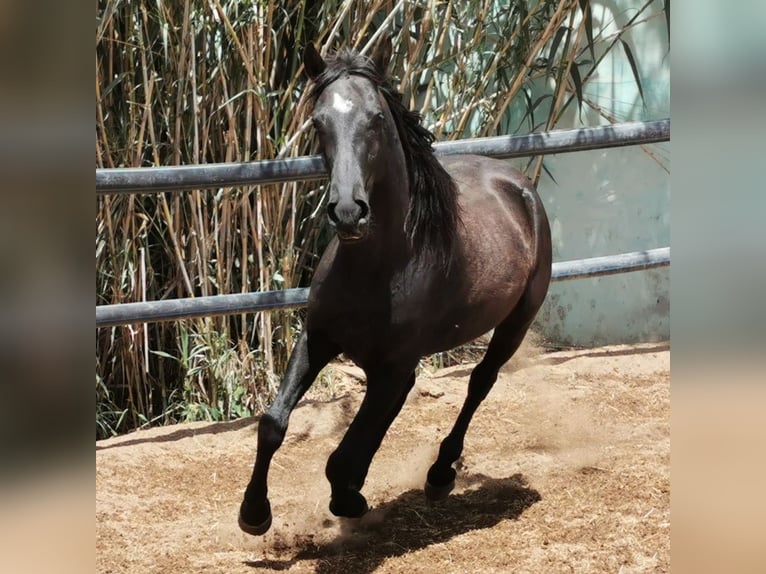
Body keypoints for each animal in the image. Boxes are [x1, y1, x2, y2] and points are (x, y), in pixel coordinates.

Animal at [240, 42, 552, 536]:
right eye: (318, 122)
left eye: (376, 118)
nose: (348, 212)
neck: (377, 268)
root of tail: (519, 185)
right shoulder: (319, 338)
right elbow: (273, 422)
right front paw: (254, 513)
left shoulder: (391, 364)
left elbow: (340, 454)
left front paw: (348, 500)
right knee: (397, 404)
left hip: (514, 325)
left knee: (479, 384)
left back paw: (439, 475)